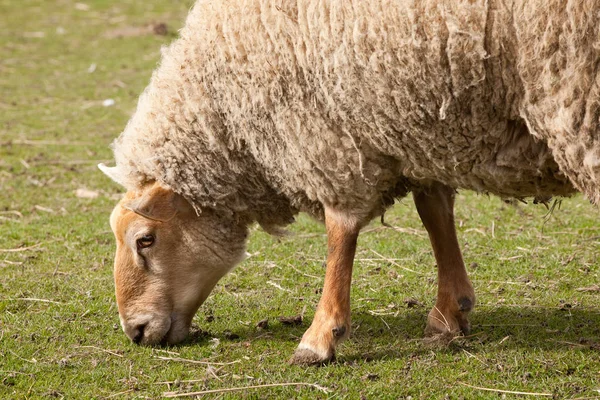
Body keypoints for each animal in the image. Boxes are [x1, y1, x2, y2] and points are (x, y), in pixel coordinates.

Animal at [98, 0, 596, 364]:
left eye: (145, 240)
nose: (135, 332)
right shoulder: (413, 128)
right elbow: (434, 211)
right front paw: (449, 312)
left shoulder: (330, 133)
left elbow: (341, 231)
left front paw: (320, 337)